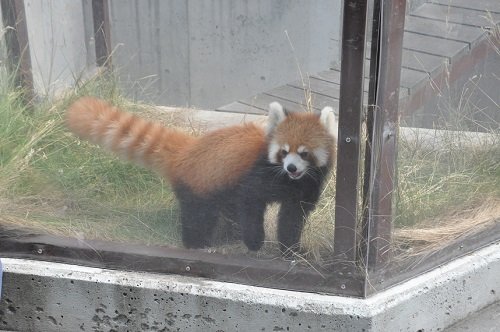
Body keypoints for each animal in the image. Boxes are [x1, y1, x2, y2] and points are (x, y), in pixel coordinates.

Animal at [66, 97, 338, 253]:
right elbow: (250, 203)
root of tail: (187, 150)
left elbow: (292, 219)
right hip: (200, 186)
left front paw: (292, 249)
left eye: (304, 153)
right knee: (199, 217)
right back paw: (197, 244)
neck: (290, 182)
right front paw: (255, 243)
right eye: (283, 152)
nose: (291, 168)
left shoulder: (305, 189)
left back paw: (225, 239)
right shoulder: (258, 175)